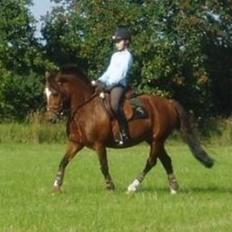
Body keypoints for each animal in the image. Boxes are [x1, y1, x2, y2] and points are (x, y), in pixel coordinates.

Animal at [44, 65, 214, 194]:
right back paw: (174, 187)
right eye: (45, 93)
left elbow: (103, 166)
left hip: (157, 139)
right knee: (166, 160)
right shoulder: (76, 143)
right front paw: (56, 186)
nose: (50, 118)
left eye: (55, 93)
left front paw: (110, 187)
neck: (86, 109)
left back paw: (133, 186)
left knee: (151, 161)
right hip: (153, 140)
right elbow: (63, 162)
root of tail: (169, 103)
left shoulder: (99, 144)